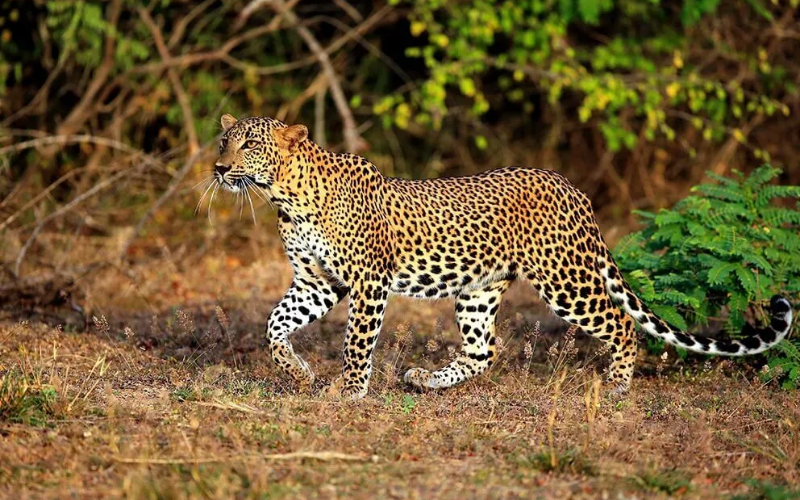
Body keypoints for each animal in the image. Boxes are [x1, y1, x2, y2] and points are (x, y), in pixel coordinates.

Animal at [211, 113, 792, 398]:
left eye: (249, 145)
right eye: (223, 141)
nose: (218, 168)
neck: (285, 196)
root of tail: (571, 187)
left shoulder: (368, 282)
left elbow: (357, 343)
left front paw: (347, 391)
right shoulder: (317, 282)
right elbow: (274, 325)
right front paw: (298, 374)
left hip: (565, 280)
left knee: (621, 324)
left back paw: (618, 386)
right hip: (478, 288)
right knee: (484, 350)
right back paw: (427, 381)